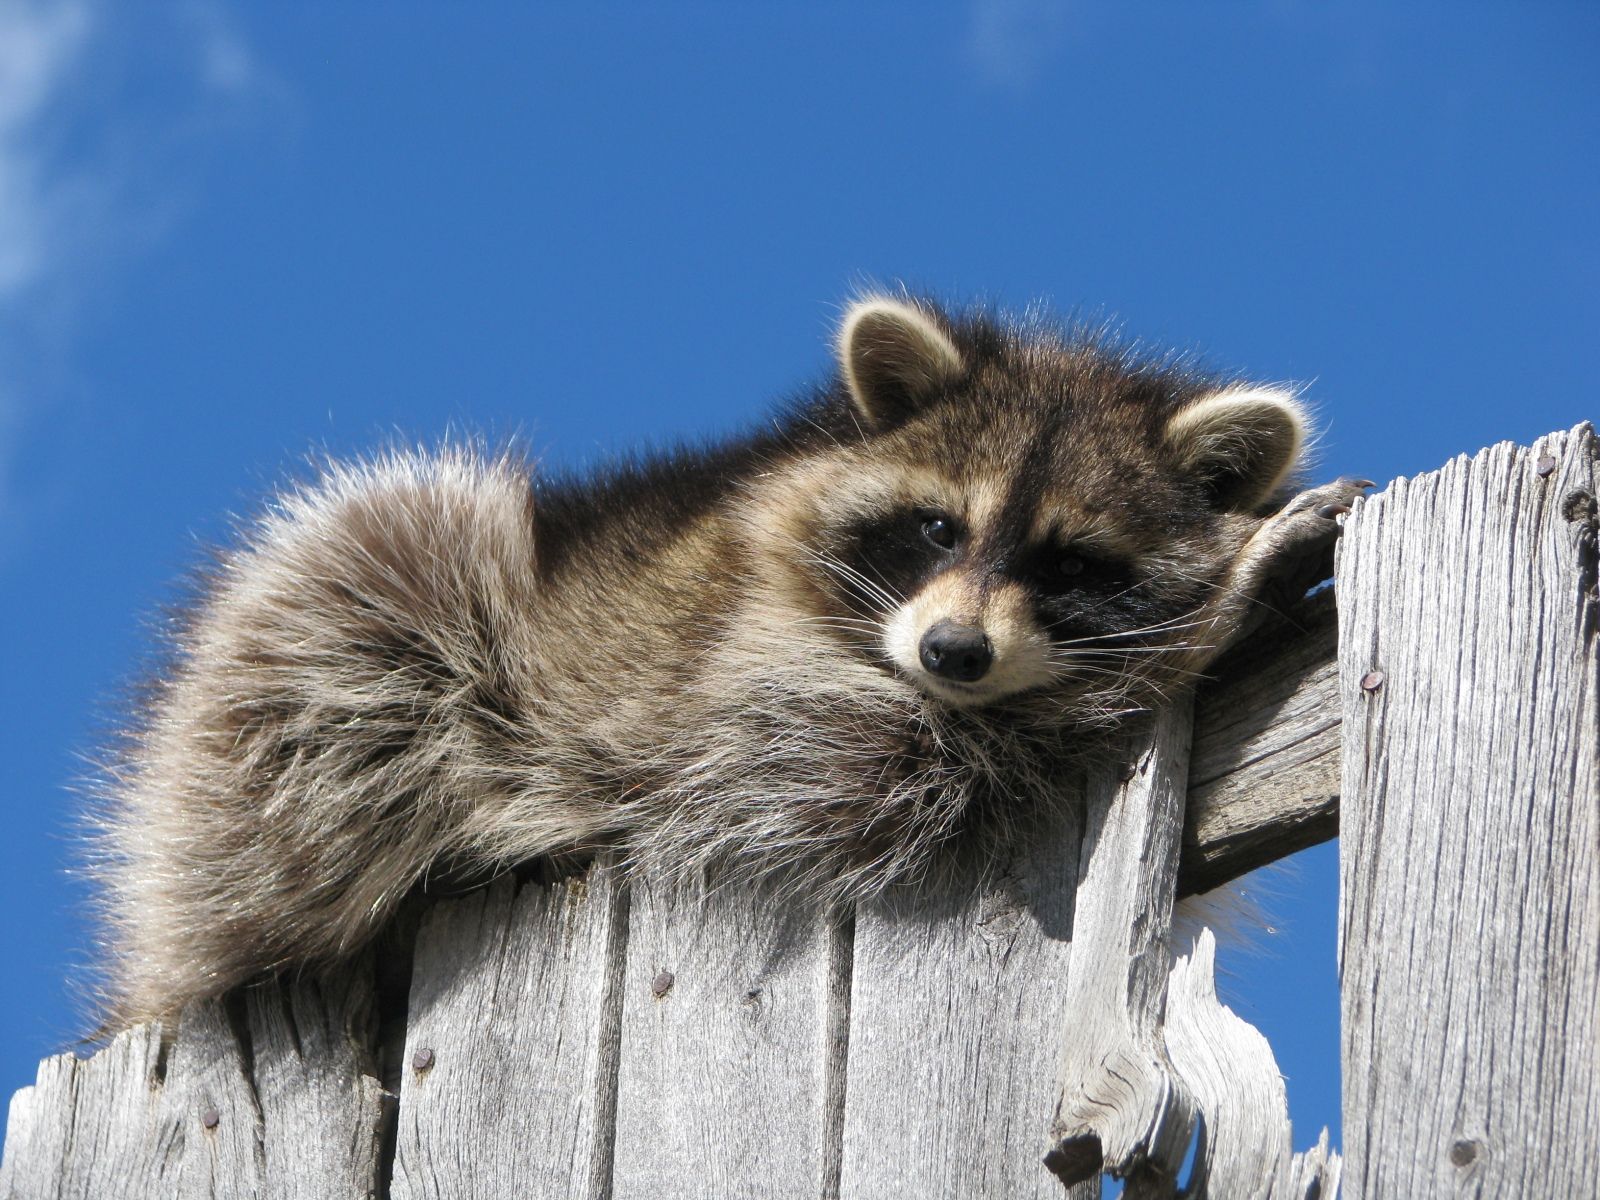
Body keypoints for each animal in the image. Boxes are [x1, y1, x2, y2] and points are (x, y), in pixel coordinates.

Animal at [92, 296, 1362, 1029]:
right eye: (936, 529)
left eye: (1069, 565)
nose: (954, 652)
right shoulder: (713, 676)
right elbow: (857, 753)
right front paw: (1219, 610)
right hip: (316, 661)